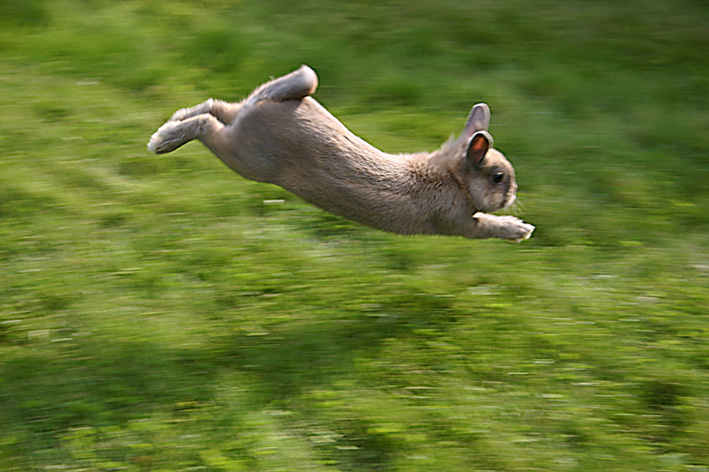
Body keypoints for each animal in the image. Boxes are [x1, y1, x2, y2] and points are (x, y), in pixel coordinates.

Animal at [148, 65, 534, 241]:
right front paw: (520, 229)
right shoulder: (456, 222)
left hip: (243, 120)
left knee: (214, 106)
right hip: (247, 157)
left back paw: (170, 122)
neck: (453, 176)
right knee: (207, 126)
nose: (512, 196)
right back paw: (161, 140)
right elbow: (484, 226)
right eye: (498, 177)